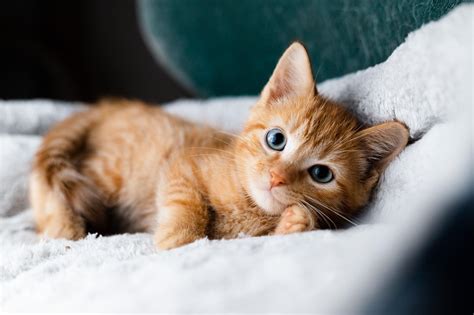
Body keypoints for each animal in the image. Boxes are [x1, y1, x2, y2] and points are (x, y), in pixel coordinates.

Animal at [29, 42, 410, 249]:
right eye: (276, 139)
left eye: (321, 174)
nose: (276, 178)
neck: (249, 206)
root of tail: (106, 106)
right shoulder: (182, 163)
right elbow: (187, 202)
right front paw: (178, 238)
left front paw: (297, 222)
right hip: (111, 172)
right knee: (44, 184)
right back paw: (62, 227)